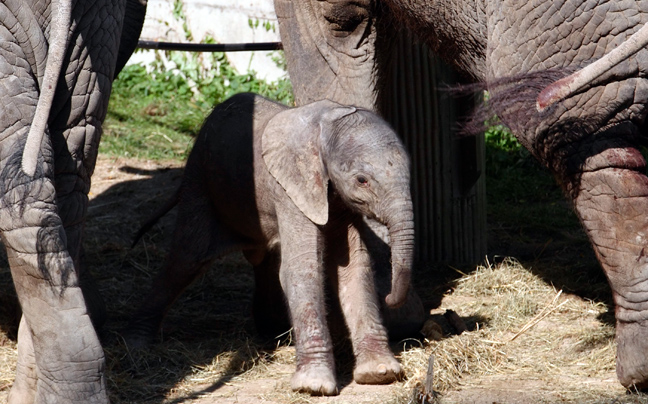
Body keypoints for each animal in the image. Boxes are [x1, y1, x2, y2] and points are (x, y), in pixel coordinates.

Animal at [128, 91, 416, 394]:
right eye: (362, 180)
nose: (391, 299)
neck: (325, 126)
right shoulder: (289, 189)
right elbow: (303, 268)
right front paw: (313, 387)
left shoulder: (336, 200)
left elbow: (353, 268)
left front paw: (380, 373)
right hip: (201, 182)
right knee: (186, 259)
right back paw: (136, 344)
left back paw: (272, 333)